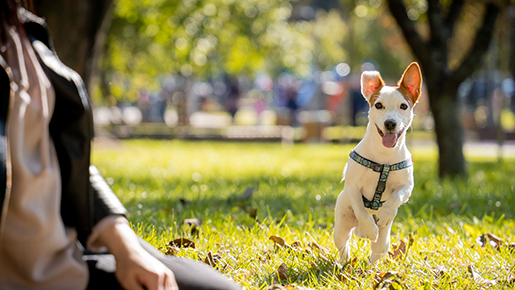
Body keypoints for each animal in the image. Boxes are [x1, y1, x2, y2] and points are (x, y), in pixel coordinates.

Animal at [334, 62, 424, 264]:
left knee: (376, 253)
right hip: (342, 223)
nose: (390, 123)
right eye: (378, 105)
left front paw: (385, 213)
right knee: (343, 244)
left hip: (384, 241)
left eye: (403, 106)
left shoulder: (407, 186)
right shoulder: (352, 186)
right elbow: (360, 209)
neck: (383, 156)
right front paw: (369, 227)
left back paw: (370, 268)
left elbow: (396, 197)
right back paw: (345, 262)